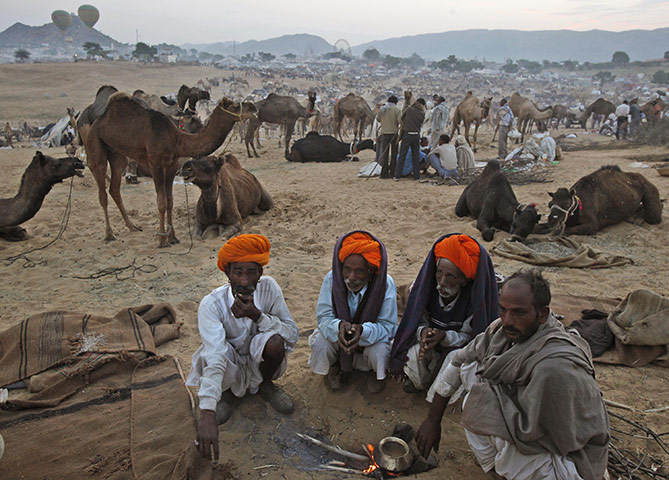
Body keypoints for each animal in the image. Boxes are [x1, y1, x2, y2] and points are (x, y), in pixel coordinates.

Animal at [84, 93, 256, 247]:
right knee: (102, 189)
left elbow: (170, 202)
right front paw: (162, 240)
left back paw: (132, 226)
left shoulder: (172, 167)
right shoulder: (155, 165)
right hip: (94, 143)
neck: (176, 140)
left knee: (115, 187)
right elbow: (161, 202)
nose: (253, 107)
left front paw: (173, 237)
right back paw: (109, 234)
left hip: (116, 152)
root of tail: (98, 121)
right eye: (235, 106)